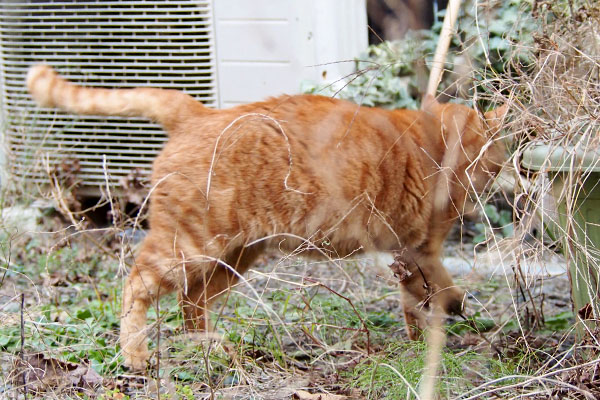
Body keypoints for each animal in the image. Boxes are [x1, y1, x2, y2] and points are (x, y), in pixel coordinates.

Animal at [27, 64, 506, 370]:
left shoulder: (407, 252)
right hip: (190, 246)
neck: (438, 143)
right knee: (136, 283)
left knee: (191, 302)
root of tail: (200, 112)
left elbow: (415, 300)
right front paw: (449, 315)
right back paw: (136, 356)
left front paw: (418, 339)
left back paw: (211, 350)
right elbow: (440, 289)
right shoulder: (423, 248)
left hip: (234, 257)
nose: (491, 178)